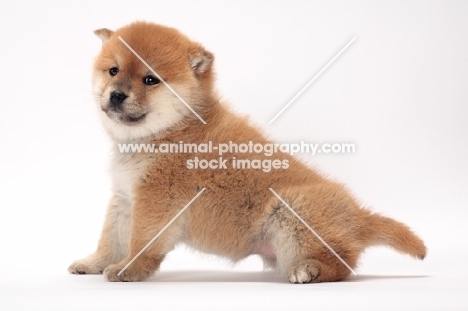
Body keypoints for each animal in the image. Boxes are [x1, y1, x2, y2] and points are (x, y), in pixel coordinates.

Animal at [67, 22, 426, 284]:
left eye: (150, 80)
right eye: (113, 71)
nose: (116, 95)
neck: (170, 132)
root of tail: (359, 216)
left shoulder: (157, 201)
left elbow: (141, 242)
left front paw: (130, 269)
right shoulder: (125, 198)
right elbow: (110, 238)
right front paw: (95, 263)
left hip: (290, 212)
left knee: (344, 263)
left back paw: (310, 270)